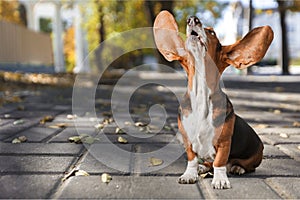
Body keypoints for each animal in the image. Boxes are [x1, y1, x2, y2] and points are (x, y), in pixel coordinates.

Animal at [154, 10, 274, 189]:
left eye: (212, 32)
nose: (192, 19)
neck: (201, 95)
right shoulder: (188, 141)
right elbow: (192, 160)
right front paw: (189, 174)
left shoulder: (224, 144)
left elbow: (219, 162)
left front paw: (220, 180)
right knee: (208, 163)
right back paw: (203, 167)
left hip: (254, 155)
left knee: (243, 166)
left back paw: (237, 168)